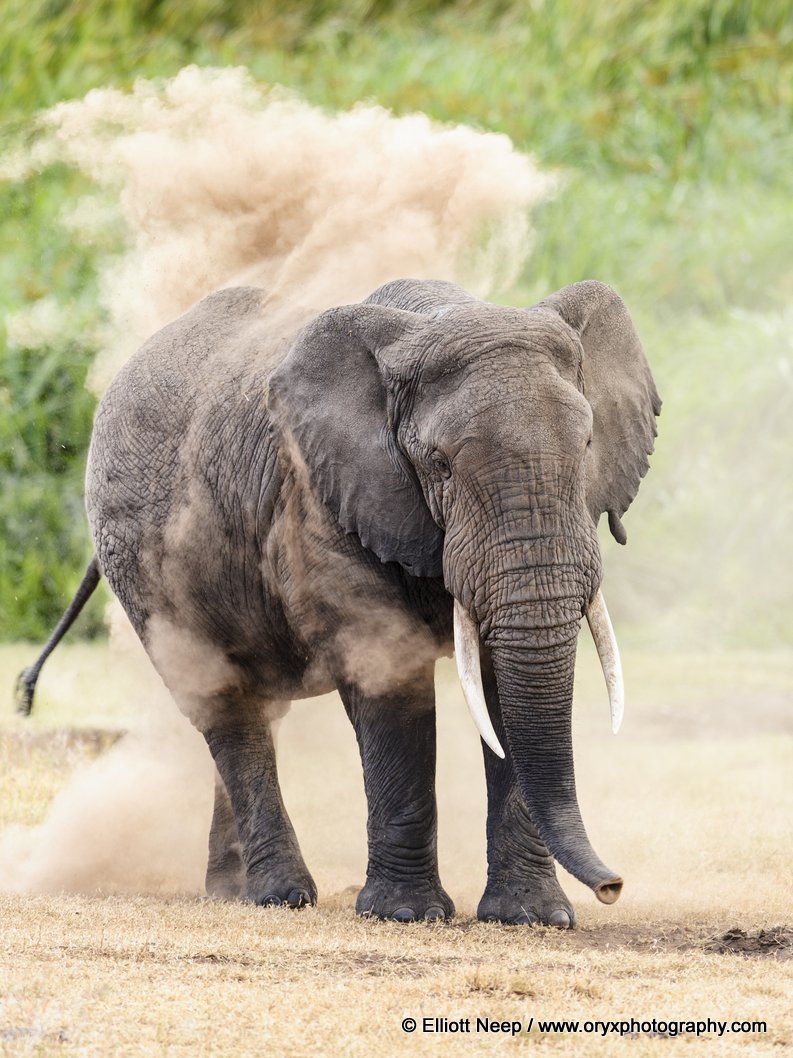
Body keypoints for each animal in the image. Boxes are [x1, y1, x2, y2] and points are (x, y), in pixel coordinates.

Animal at [17, 277, 660, 926]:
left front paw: (530, 917)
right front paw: (406, 915)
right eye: (440, 464)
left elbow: (501, 689)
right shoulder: (318, 499)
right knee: (225, 705)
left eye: (587, 444)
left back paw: (230, 891)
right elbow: (387, 674)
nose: (613, 886)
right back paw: (280, 895)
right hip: (142, 563)